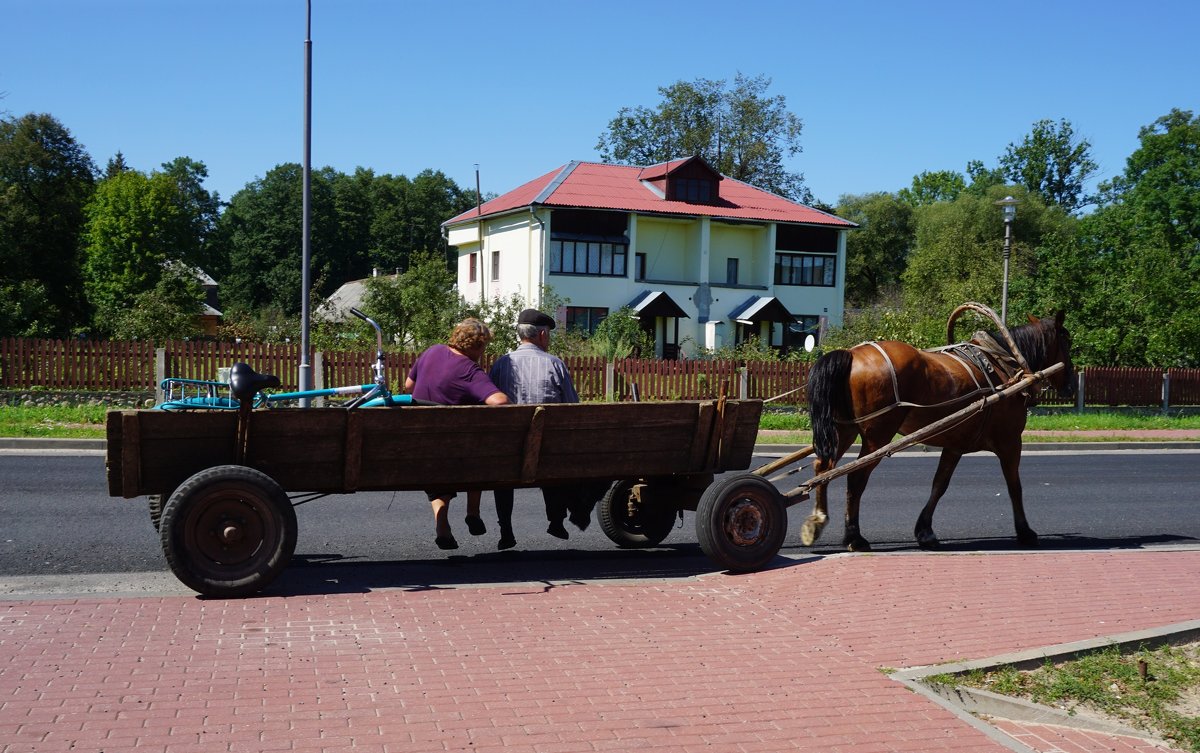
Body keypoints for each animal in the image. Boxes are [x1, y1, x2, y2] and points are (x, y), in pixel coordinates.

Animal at [801, 311, 1075, 553]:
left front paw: (925, 531)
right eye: (1067, 341)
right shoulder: (1010, 442)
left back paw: (818, 520)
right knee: (855, 478)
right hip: (877, 437)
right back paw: (854, 537)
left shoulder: (955, 445)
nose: (1070, 384)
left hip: (843, 430)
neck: (1003, 367)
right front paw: (1025, 531)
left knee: (823, 468)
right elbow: (1014, 486)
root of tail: (851, 353)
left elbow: (939, 484)